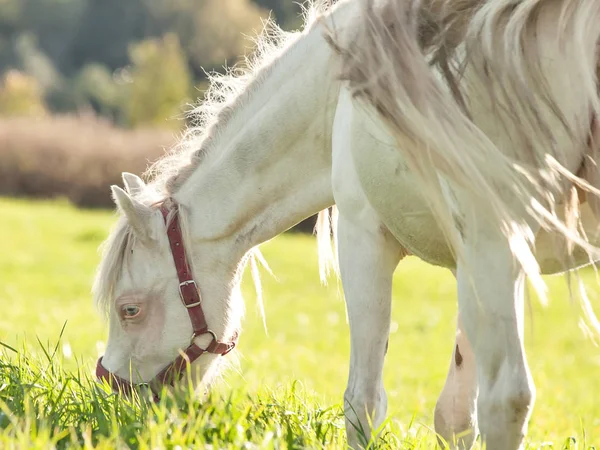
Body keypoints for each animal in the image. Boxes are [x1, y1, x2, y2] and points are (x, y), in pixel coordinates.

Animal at [92, 1, 600, 448]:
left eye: (129, 309)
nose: (115, 396)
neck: (337, 97)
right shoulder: (470, 264)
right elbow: (455, 416)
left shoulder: (368, 238)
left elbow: (364, 402)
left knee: (507, 399)